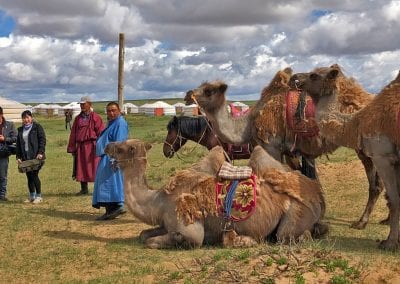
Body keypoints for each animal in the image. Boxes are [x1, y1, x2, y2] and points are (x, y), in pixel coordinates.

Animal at [104, 139, 326, 248]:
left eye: (122, 147)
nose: (106, 146)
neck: (159, 201)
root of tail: (317, 194)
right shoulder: (165, 222)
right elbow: (143, 235)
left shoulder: (188, 227)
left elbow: (157, 241)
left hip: (297, 211)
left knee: (286, 236)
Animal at [189, 69, 386, 231]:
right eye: (200, 86)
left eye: (208, 90)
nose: (188, 94)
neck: (248, 123)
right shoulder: (292, 151)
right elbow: (306, 178)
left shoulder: (272, 146)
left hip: (365, 145)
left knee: (375, 184)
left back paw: (362, 222)